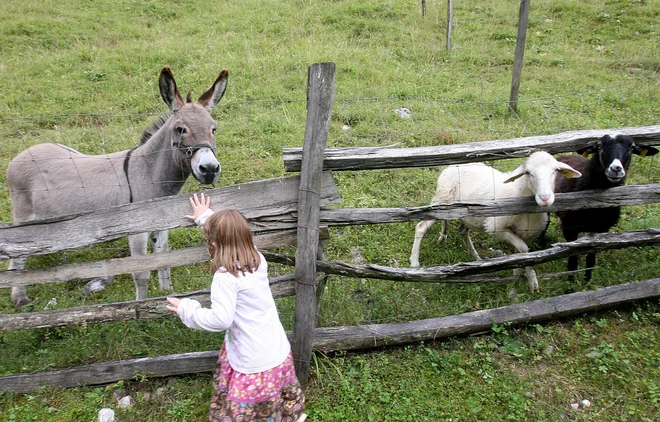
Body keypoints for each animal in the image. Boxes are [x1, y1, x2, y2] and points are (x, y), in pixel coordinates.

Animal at [410, 150, 580, 292]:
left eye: (555, 171)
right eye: (528, 172)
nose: (545, 198)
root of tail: (450, 167)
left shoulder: (528, 234)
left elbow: (521, 253)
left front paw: (516, 279)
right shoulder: (497, 227)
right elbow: (524, 249)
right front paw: (531, 280)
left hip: (466, 214)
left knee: (462, 232)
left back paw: (476, 257)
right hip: (441, 203)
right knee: (421, 226)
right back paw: (414, 262)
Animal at [556, 134, 656, 282]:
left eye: (632, 148)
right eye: (599, 146)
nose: (616, 169)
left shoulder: (601, 230)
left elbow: (591, 258)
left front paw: (587, 281)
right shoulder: (570, 228)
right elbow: (572, 259)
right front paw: (571, 283)